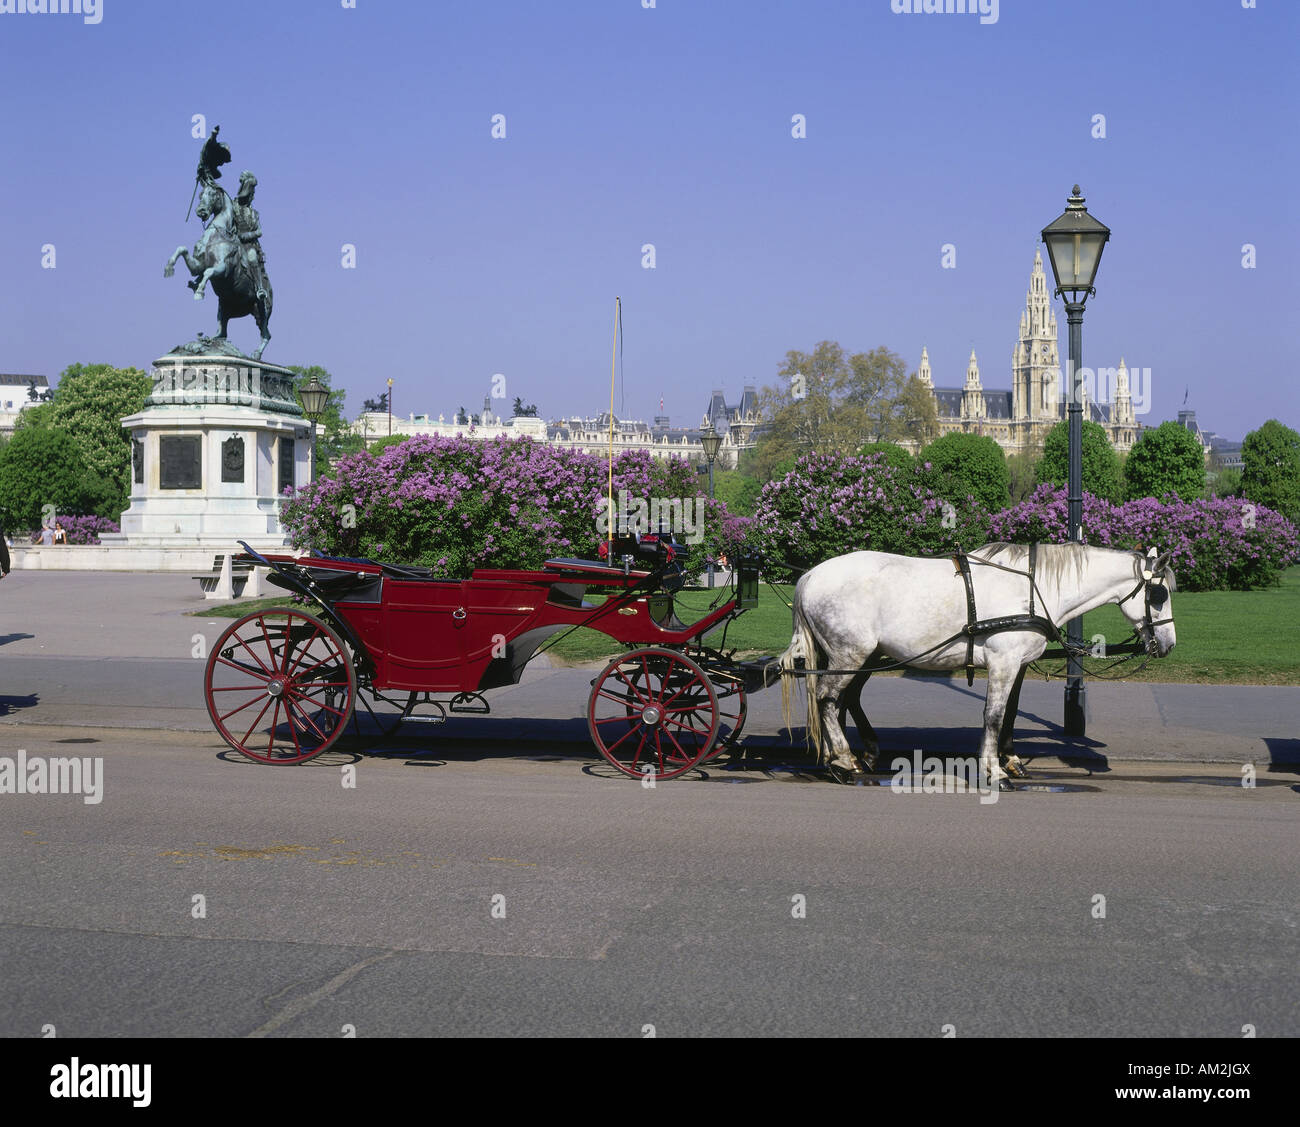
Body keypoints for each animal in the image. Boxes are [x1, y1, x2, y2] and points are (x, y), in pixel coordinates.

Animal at [769, 543, 1180, 785]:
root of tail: (810, 575)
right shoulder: (1003, 661)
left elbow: (1010, 713)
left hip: (865, 655)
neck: (1035, 589)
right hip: (849, 653)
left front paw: (1011, 759)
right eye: (1159, 594)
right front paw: (993, 769)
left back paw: (857, 753)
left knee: (844, 700)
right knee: (827, 698)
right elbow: (993, 715)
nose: (1169, 644)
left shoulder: (1018, 663)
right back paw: (843, 761)